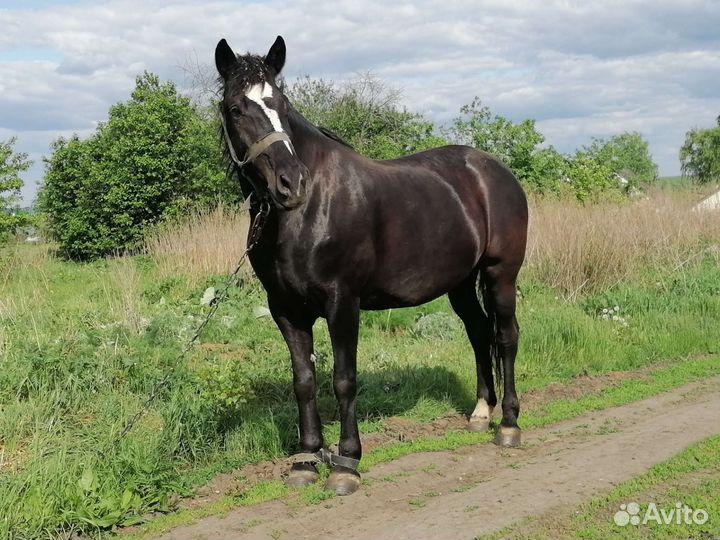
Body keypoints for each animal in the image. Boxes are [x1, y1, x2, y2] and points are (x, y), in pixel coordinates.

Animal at [215, 36, 528, 495]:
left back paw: (508, 424)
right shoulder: (285, 310)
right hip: (460, 283)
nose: (291, 184)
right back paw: (480, 415)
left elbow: (344, 379)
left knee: (505, 337)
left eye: (283, 104)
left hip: (499, 274)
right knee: (478, 333)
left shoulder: (342, 301)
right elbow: (304, 382)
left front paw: (346, 462)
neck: (310, 209)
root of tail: (495, 170)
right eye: (237, 108)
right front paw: (306, 460)